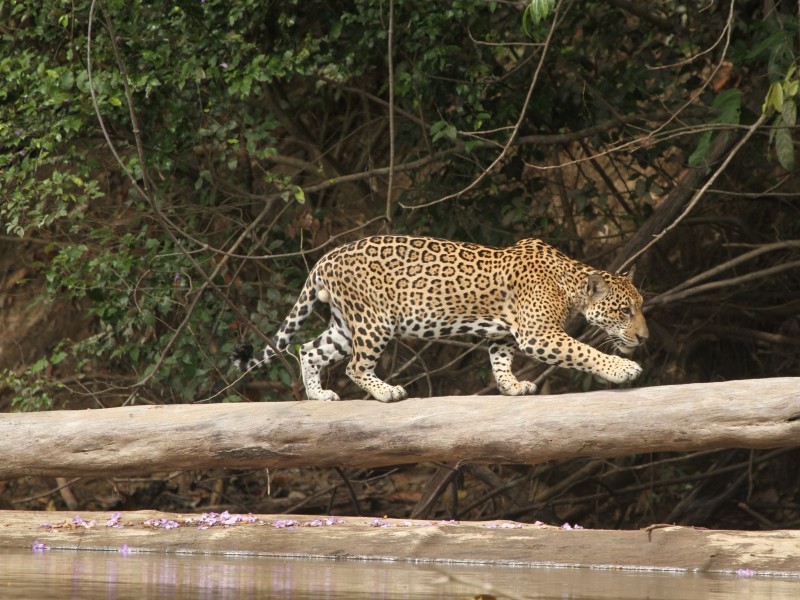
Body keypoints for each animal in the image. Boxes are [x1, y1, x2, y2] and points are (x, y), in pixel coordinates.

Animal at [232, 235, 648, 402]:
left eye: (640, 305)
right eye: (624, 310)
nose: (644, 338)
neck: (570, 282)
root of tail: (324, 260)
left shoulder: (504, 333)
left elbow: (500, 361)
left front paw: (512, 386)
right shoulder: (538, 334)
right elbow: (584, 352)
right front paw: (622, 369)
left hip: (346, 326)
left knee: (308, 348)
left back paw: (319, 395)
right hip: (374, 321)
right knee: (354, 366)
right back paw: (387, 392)